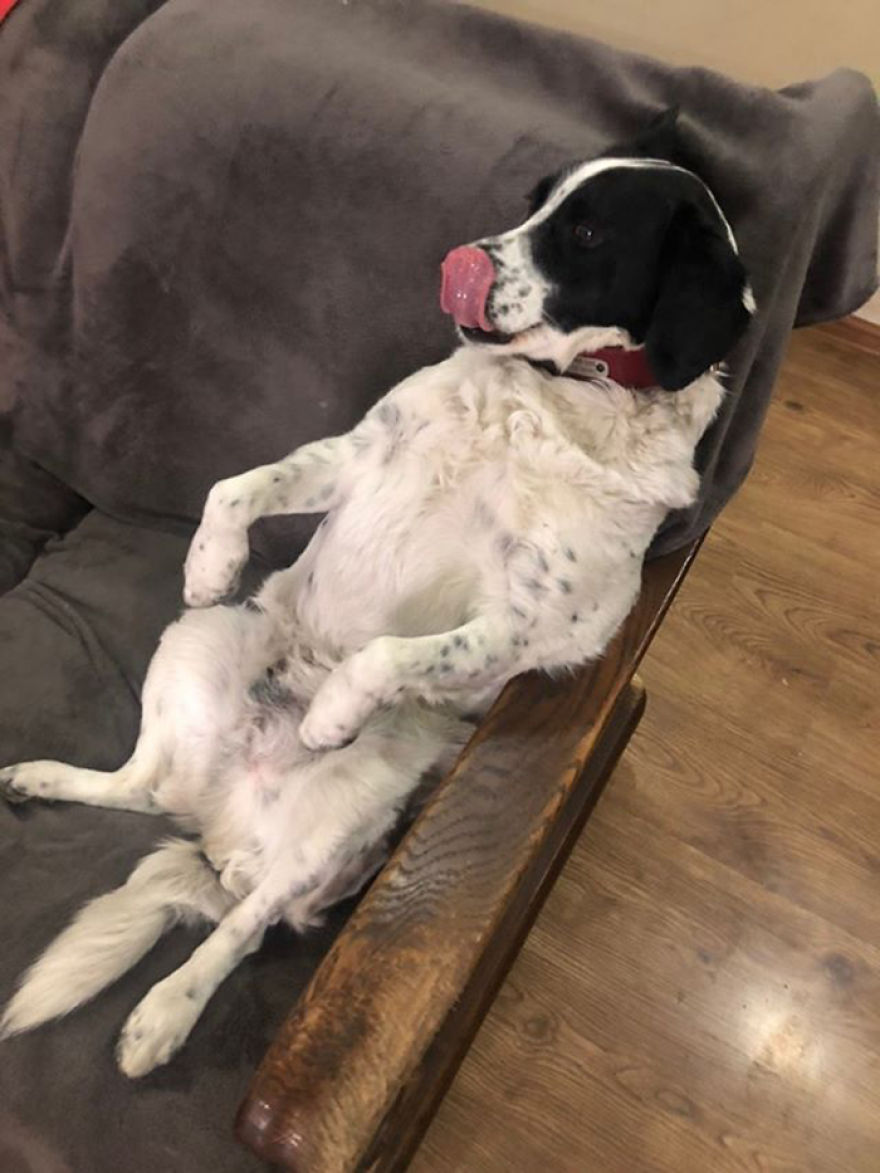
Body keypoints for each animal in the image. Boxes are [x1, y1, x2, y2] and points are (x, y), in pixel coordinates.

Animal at [0, 110, 760, 1074]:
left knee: (244, 927)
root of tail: (223, 832)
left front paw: (330, 711)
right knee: (143, 786)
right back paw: (40, 778)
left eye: (587, 234)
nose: (458, 261)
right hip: (196, 646)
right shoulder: (360, 460)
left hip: (339, 818)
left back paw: (165, 1011)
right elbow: (235, 486)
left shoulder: (535, 624)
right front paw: (211, 562)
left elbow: (389, 653)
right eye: (534, 202)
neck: (551, 394)